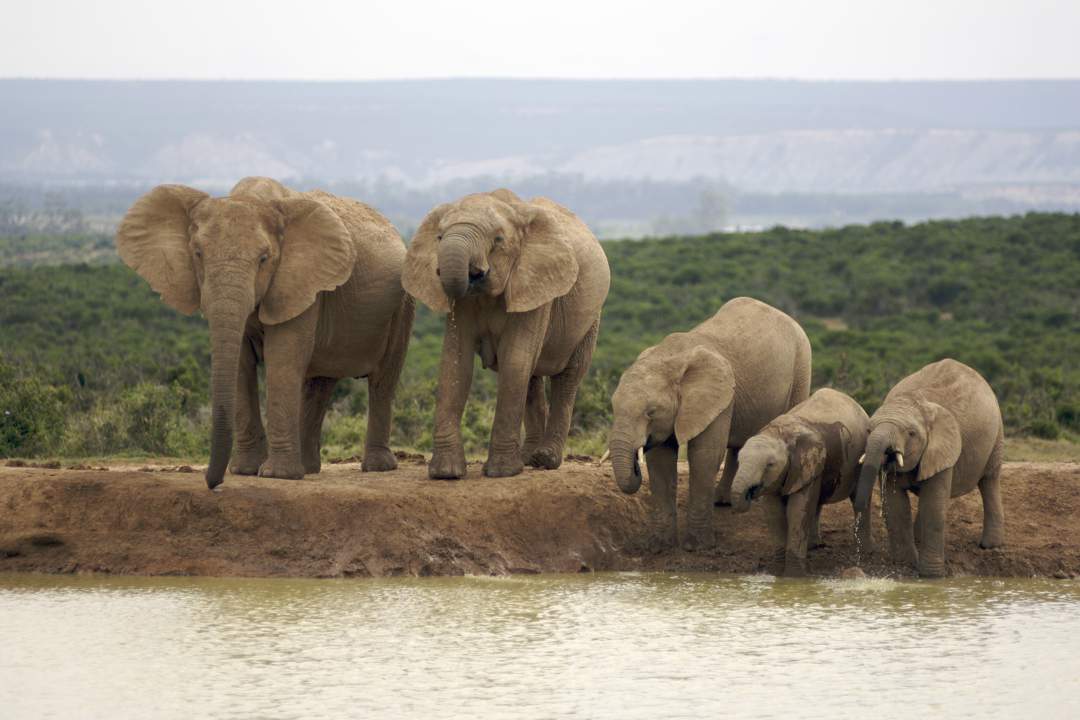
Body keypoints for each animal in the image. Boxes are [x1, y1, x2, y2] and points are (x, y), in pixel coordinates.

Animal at [117, 176, 414, 490]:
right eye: (197, 254)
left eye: (263, 258)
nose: (213, 483)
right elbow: (241, 362)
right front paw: (246, 470)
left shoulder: (300, 281)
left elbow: (282, 357)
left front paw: (276, 475)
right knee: (319, 384)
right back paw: (308, 467)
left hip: (402, 306)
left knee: (383, 379)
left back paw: (376, 467)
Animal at [402, 189, 610, 479]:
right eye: (439, 237)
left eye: (498, 240)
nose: (472, 274)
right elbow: (455, 362)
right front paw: (446, 473)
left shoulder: (535, 282)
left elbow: (514, 360)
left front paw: (502, 472)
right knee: (532, 380)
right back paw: (528, 459)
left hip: (590, 318)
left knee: (568, 377)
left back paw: (545, 460)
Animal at [608, 296, 812, 551]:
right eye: (613, 406)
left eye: (650, 412)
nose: (636, 465)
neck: (669, 356)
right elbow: (660, 460)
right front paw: (659, 546)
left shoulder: (719, 399)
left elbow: (704, 455)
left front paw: (697, 547)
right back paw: (723, 501)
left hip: (801, 365)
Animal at [729, 388, 871, 576]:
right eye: (739, 460)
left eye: (769, 465)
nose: (749, 493)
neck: (779, 433)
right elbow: (774, 513)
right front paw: (776, 574)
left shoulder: (808, 464)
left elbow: (797, 510)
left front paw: (794, 576)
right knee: (816, 503)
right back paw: (814, 546)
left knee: (859, 499)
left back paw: (866, 550)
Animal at [853, 358, 1005, 577]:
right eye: (868, 430)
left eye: (911, 433)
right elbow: (897, 508)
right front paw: (905, 564)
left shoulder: (944, 447)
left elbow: (933, 508)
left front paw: (931, 575)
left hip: (997, 432)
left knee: (989, 481)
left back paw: (990, 546)